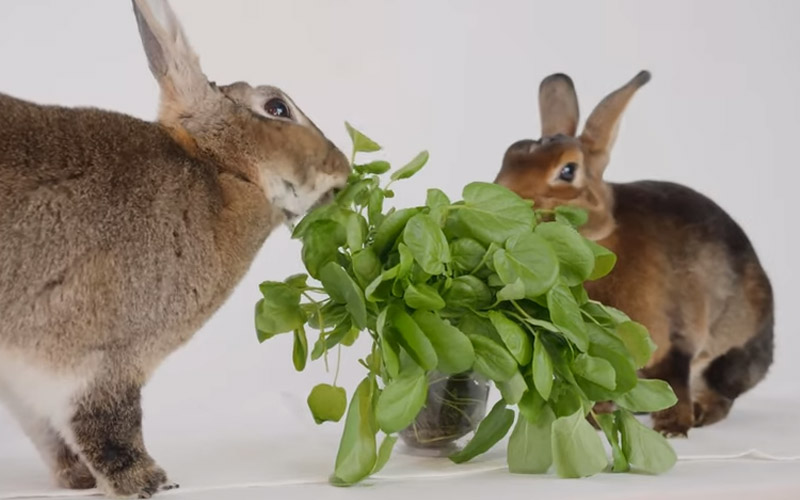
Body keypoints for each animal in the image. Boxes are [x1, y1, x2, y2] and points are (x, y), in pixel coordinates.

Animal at [0, 0, 349, 497]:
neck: (222, 173)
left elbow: (49, 433)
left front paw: (78, 478)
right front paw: (148, 482)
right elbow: (110, 425)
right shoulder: (106, 359)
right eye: (277, 107)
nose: (345, 170)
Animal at [493, 70, 773, 437]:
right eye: (510, 154)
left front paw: (672, 429)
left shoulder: (674, 338)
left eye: (568, 170)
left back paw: (699, 414)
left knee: (717, 392)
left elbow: (675, 380)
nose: (505, 196)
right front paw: (594, 421)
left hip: (726, 357)